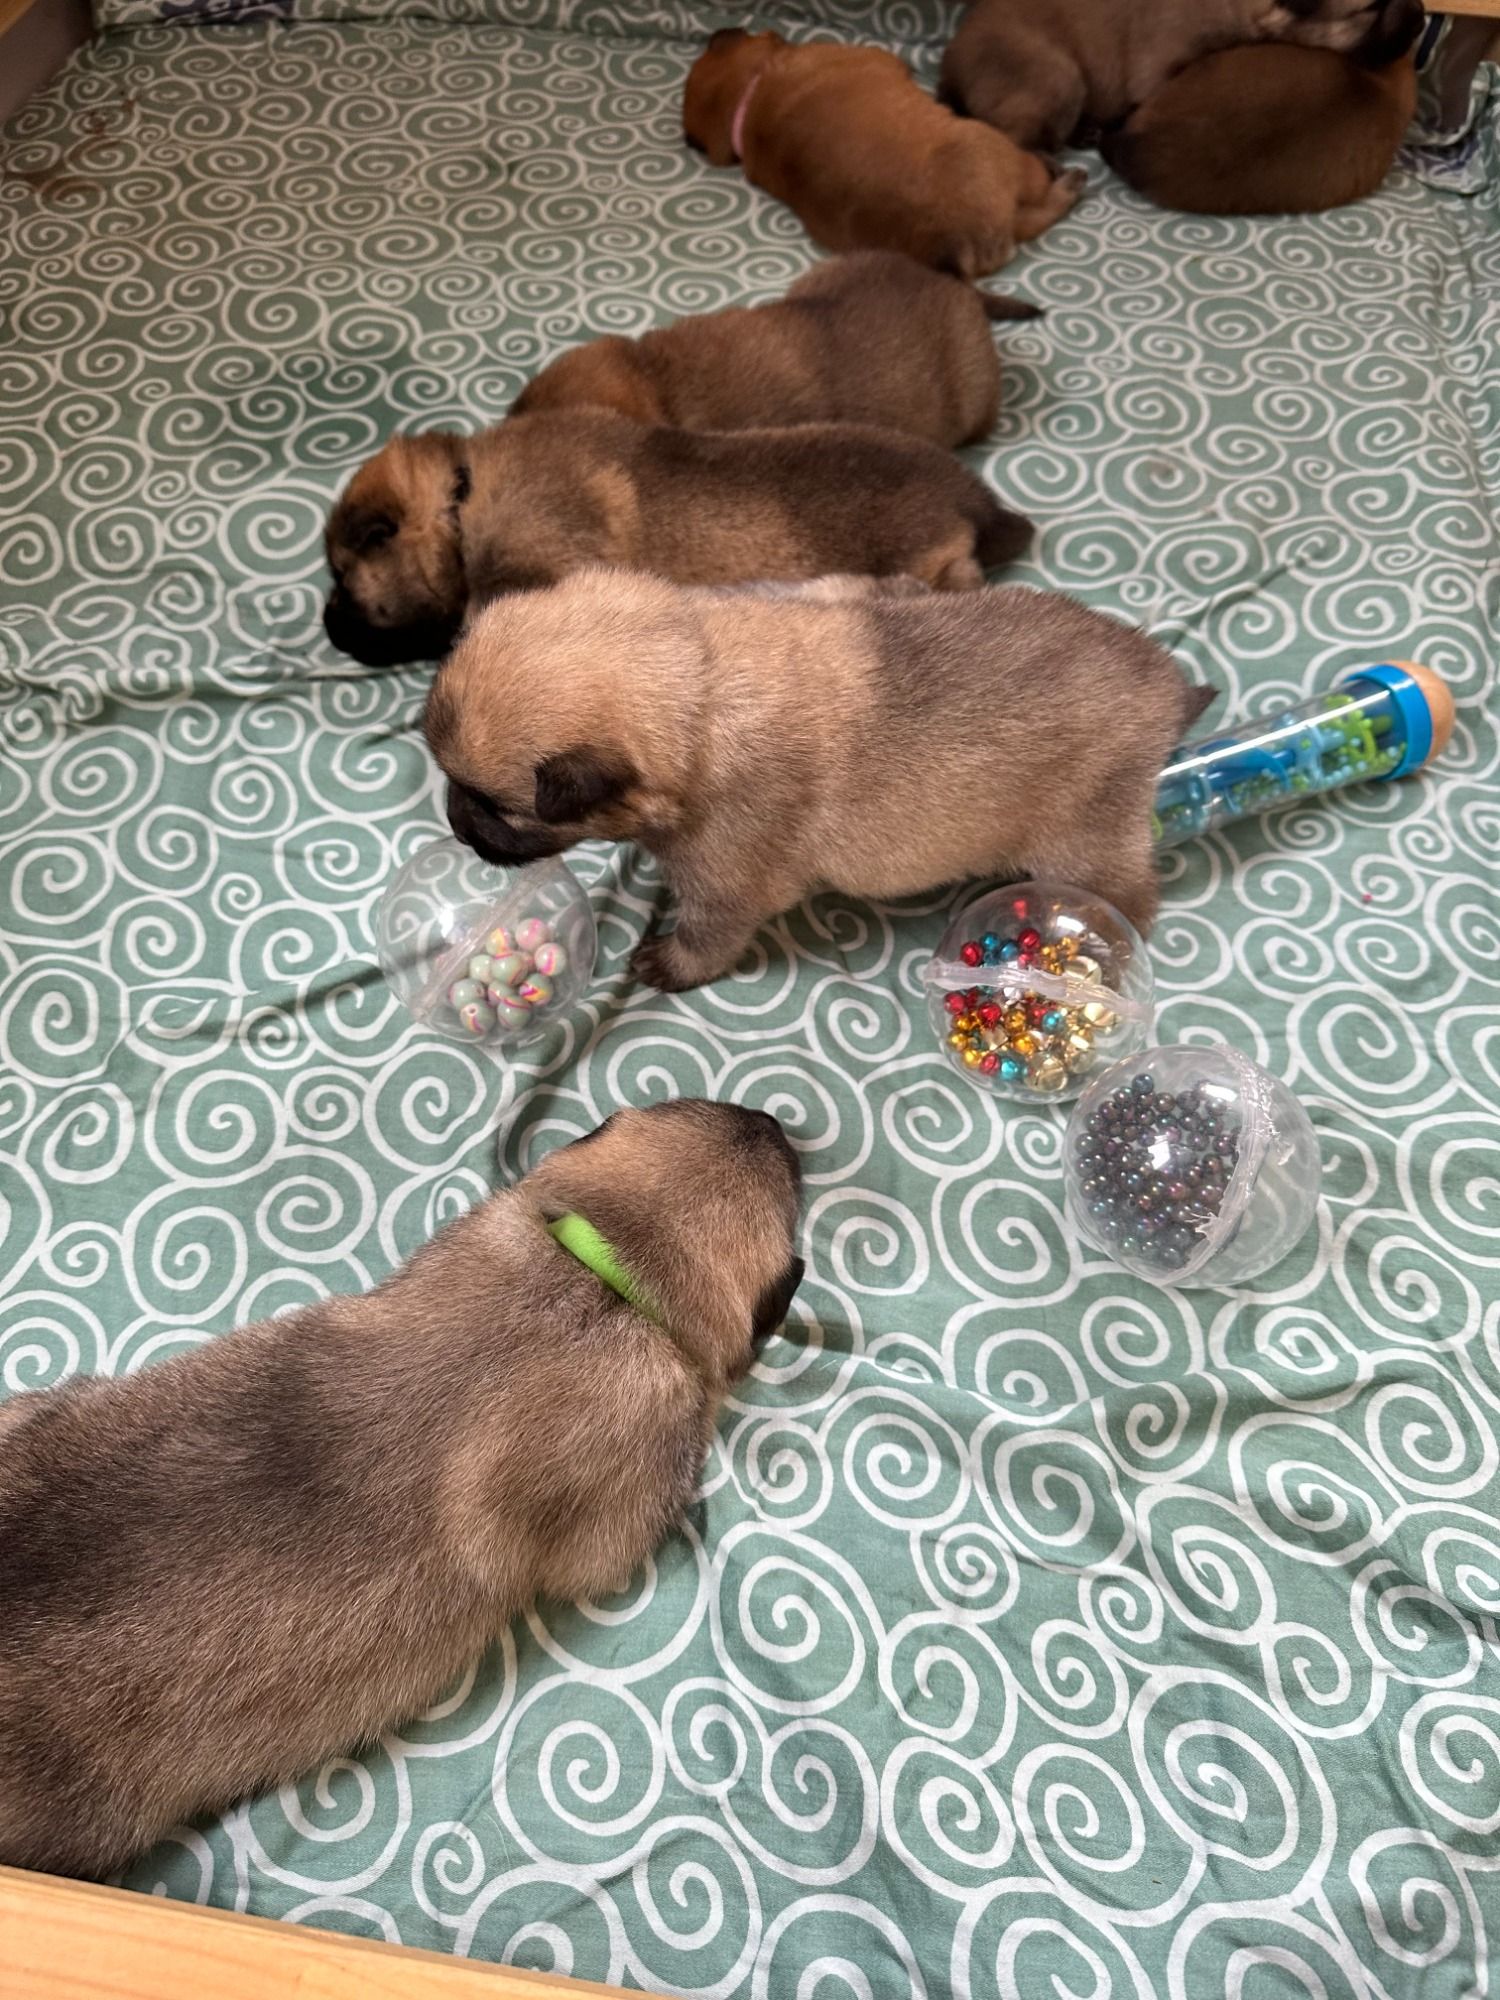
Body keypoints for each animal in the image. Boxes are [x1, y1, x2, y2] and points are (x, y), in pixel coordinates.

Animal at [423, 568, 1216, 991]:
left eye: (495, 809)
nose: (456, 822)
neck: (704, 683)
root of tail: (1164, 687)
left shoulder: (726, 884)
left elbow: (705, 935)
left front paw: (670, 962)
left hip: (1081, 845)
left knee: (1130, 899)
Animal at [940, 0, 1425, 154]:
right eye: (1371, 7)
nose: (1423, 13)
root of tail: (949, 66)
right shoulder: (1158, 71)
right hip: (1058, 77)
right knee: (1014, 136)